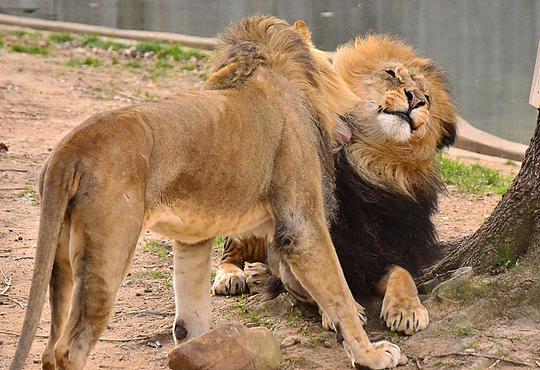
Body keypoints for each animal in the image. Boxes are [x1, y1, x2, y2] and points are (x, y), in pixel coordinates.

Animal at [10, 16, 402, 370]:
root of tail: (70, 148)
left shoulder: (192, 238)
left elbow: (190, 321)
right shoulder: (301, 225)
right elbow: (340, 294)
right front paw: (372, 355)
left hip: (60, 255)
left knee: (49, 348)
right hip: (108, 252)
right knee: (68, 349)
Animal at [213, 33, 458, 336]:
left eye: (429, 98)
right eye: (391, 73)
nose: (417, 100)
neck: (369, 163)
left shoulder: (385, 251)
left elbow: (402, 274)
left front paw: (407, 310)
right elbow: (324, 282)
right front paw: (345, 311)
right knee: (228, 250)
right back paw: (230, 276)